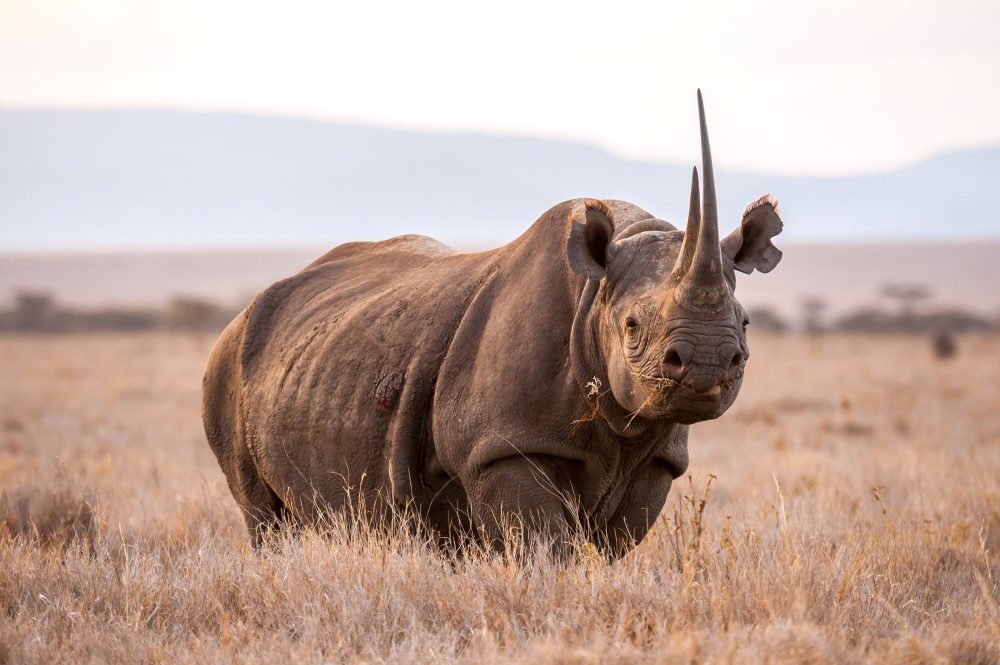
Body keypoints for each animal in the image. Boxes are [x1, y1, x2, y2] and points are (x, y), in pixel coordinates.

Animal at [202, 91, 784, 558]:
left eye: (746, 325)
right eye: (633, 326)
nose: (707, 363)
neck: (595, 294)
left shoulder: (658, 456)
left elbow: (611, 545)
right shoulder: (504, 444)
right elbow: (548, 547)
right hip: (228, 364)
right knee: (262, 515)